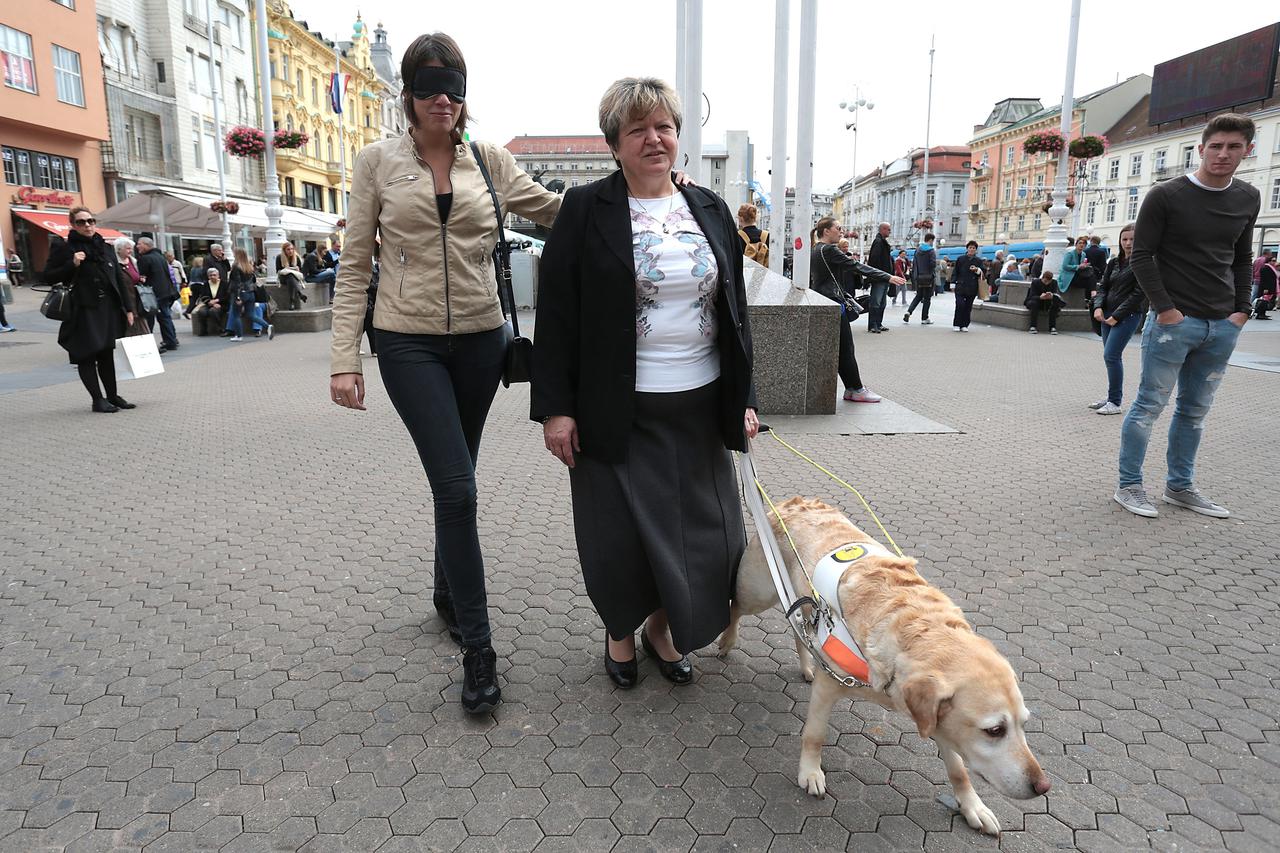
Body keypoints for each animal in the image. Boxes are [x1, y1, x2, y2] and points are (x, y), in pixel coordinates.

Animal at [716, 494, 1054, 835]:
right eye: (995, 730)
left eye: (1024, 723)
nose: (1043, 786)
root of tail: (793, 502)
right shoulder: (830, 687)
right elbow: (815, 734)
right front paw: (810, 772)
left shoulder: (938, 721)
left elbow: (959, 768)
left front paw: (973, 806)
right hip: (759, 591)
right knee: (735, 606)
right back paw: (728, 640)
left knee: (798, 626)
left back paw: (807, 664)